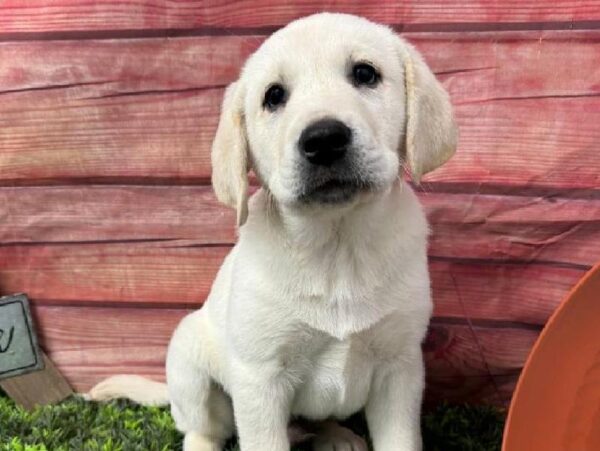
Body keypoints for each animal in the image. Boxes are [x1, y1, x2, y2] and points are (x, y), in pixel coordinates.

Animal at [88, 12, 454, 451]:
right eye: (274, 96)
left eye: (365, 73)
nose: (324, 139)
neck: (337, 246)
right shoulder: (259, 379)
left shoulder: (399, 369)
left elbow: (400, 439)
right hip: (189, 361)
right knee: (203, 428)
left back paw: (336, 436)